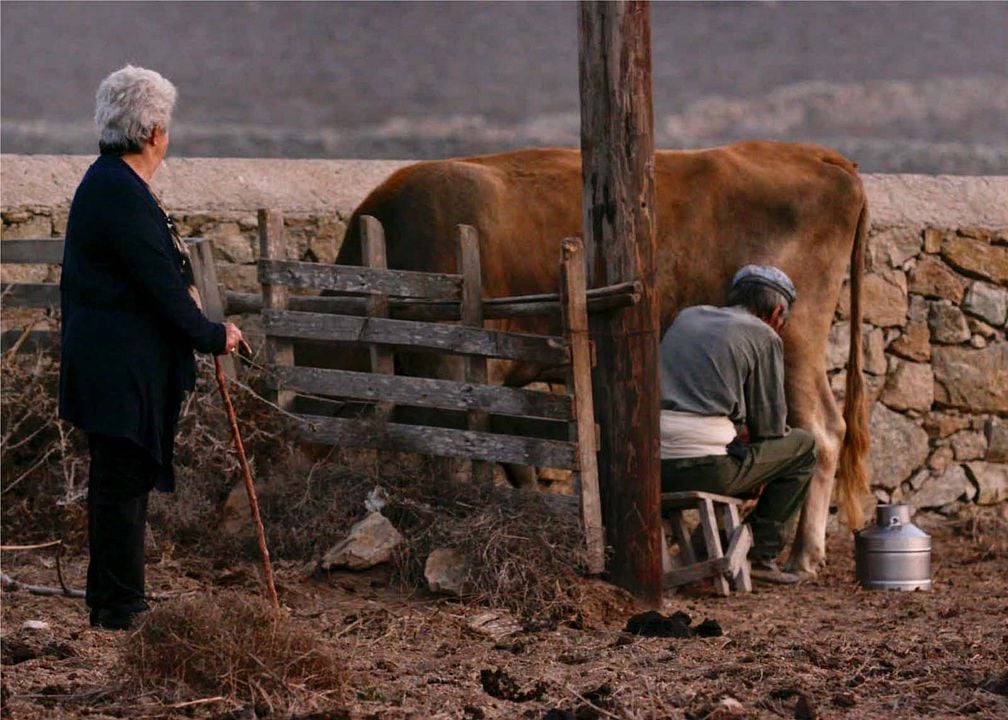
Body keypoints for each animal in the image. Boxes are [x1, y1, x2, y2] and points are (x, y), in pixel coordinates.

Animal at [336, 140, 866, 572]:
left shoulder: (451, 368)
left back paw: (802, 556)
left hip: (794, 339)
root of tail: (821, 155)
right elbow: (515, 458)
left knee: (823, 431)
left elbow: (452, 457)